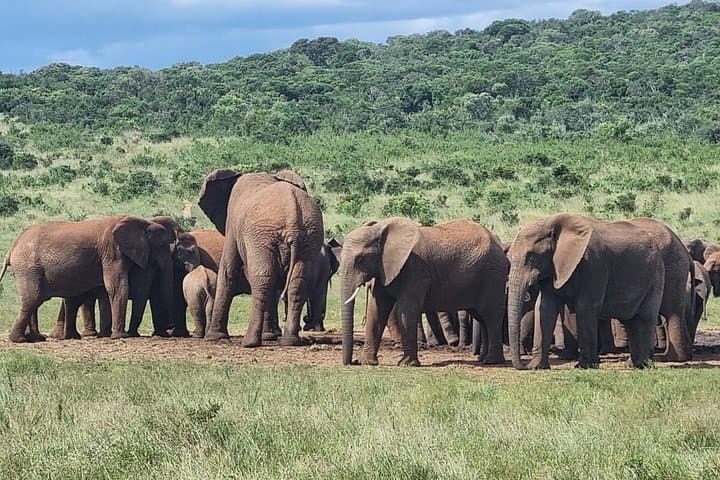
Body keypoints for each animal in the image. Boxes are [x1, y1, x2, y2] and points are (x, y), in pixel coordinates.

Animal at [0, 216, 174, 342]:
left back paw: (36, 338)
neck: (142, 221)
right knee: (33, 298)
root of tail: (12, 247)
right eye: (163, 246)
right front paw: (119, 337)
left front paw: (106, 335)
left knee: (34, 300)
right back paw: (20, 340)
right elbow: (117, 287)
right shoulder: (113, 252)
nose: (169, 330)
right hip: (29, 267)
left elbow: (105, 290)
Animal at [198, 169, 324, 346]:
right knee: (297, 281)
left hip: (262, 236)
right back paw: (290, 341)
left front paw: (214, 337)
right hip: (309, 236)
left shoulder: (232, 224)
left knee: (263, 278)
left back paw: (249, 342)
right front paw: (269, 336)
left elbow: (228, 270)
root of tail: (292, 213)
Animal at [340, 217, 508, 367]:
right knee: (481, 318)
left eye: (360, 259)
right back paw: (482, 359)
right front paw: (368, 362)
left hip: (493, 275)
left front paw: (406, 364)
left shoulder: (415, 269)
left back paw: (491, 361)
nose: (353, 362)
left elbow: (406, 311)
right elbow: (376, 310)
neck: (380, 230)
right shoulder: (384, 269)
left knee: (491, 317)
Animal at [506, 213, 664, 370]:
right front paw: (537, 366)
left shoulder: (593, 263)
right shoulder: (552, 267)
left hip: (656, 276)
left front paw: (584, 366)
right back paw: (632, 364)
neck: (550, 222)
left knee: (645, 316)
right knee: (630, 320)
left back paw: (643, 364)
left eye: (531, 257)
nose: (524, 365)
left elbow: (585, 307)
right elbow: (544, 308)